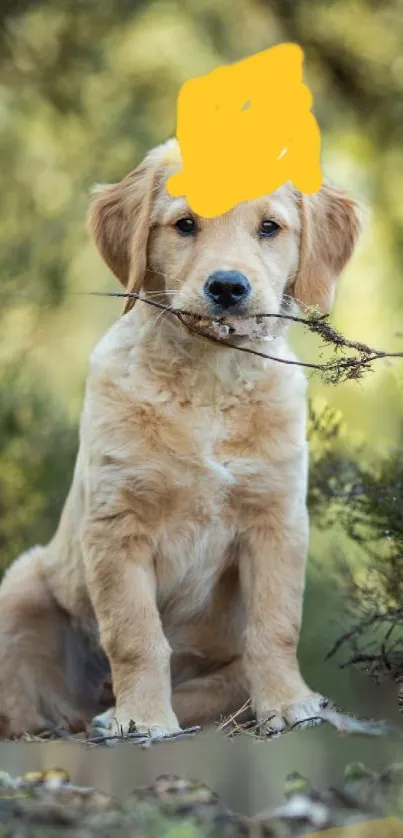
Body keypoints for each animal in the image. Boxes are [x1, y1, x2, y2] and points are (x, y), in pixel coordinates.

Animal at [0, 141, 360, 740]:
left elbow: (276, 625)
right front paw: (143, 719)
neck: (209, 383)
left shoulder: (276, 520)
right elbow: (135, 634)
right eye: (185, 224)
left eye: (269, 227)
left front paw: (289, 705)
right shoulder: (116, 526)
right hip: (21, 585)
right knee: (27, 703)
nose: (228, 287)